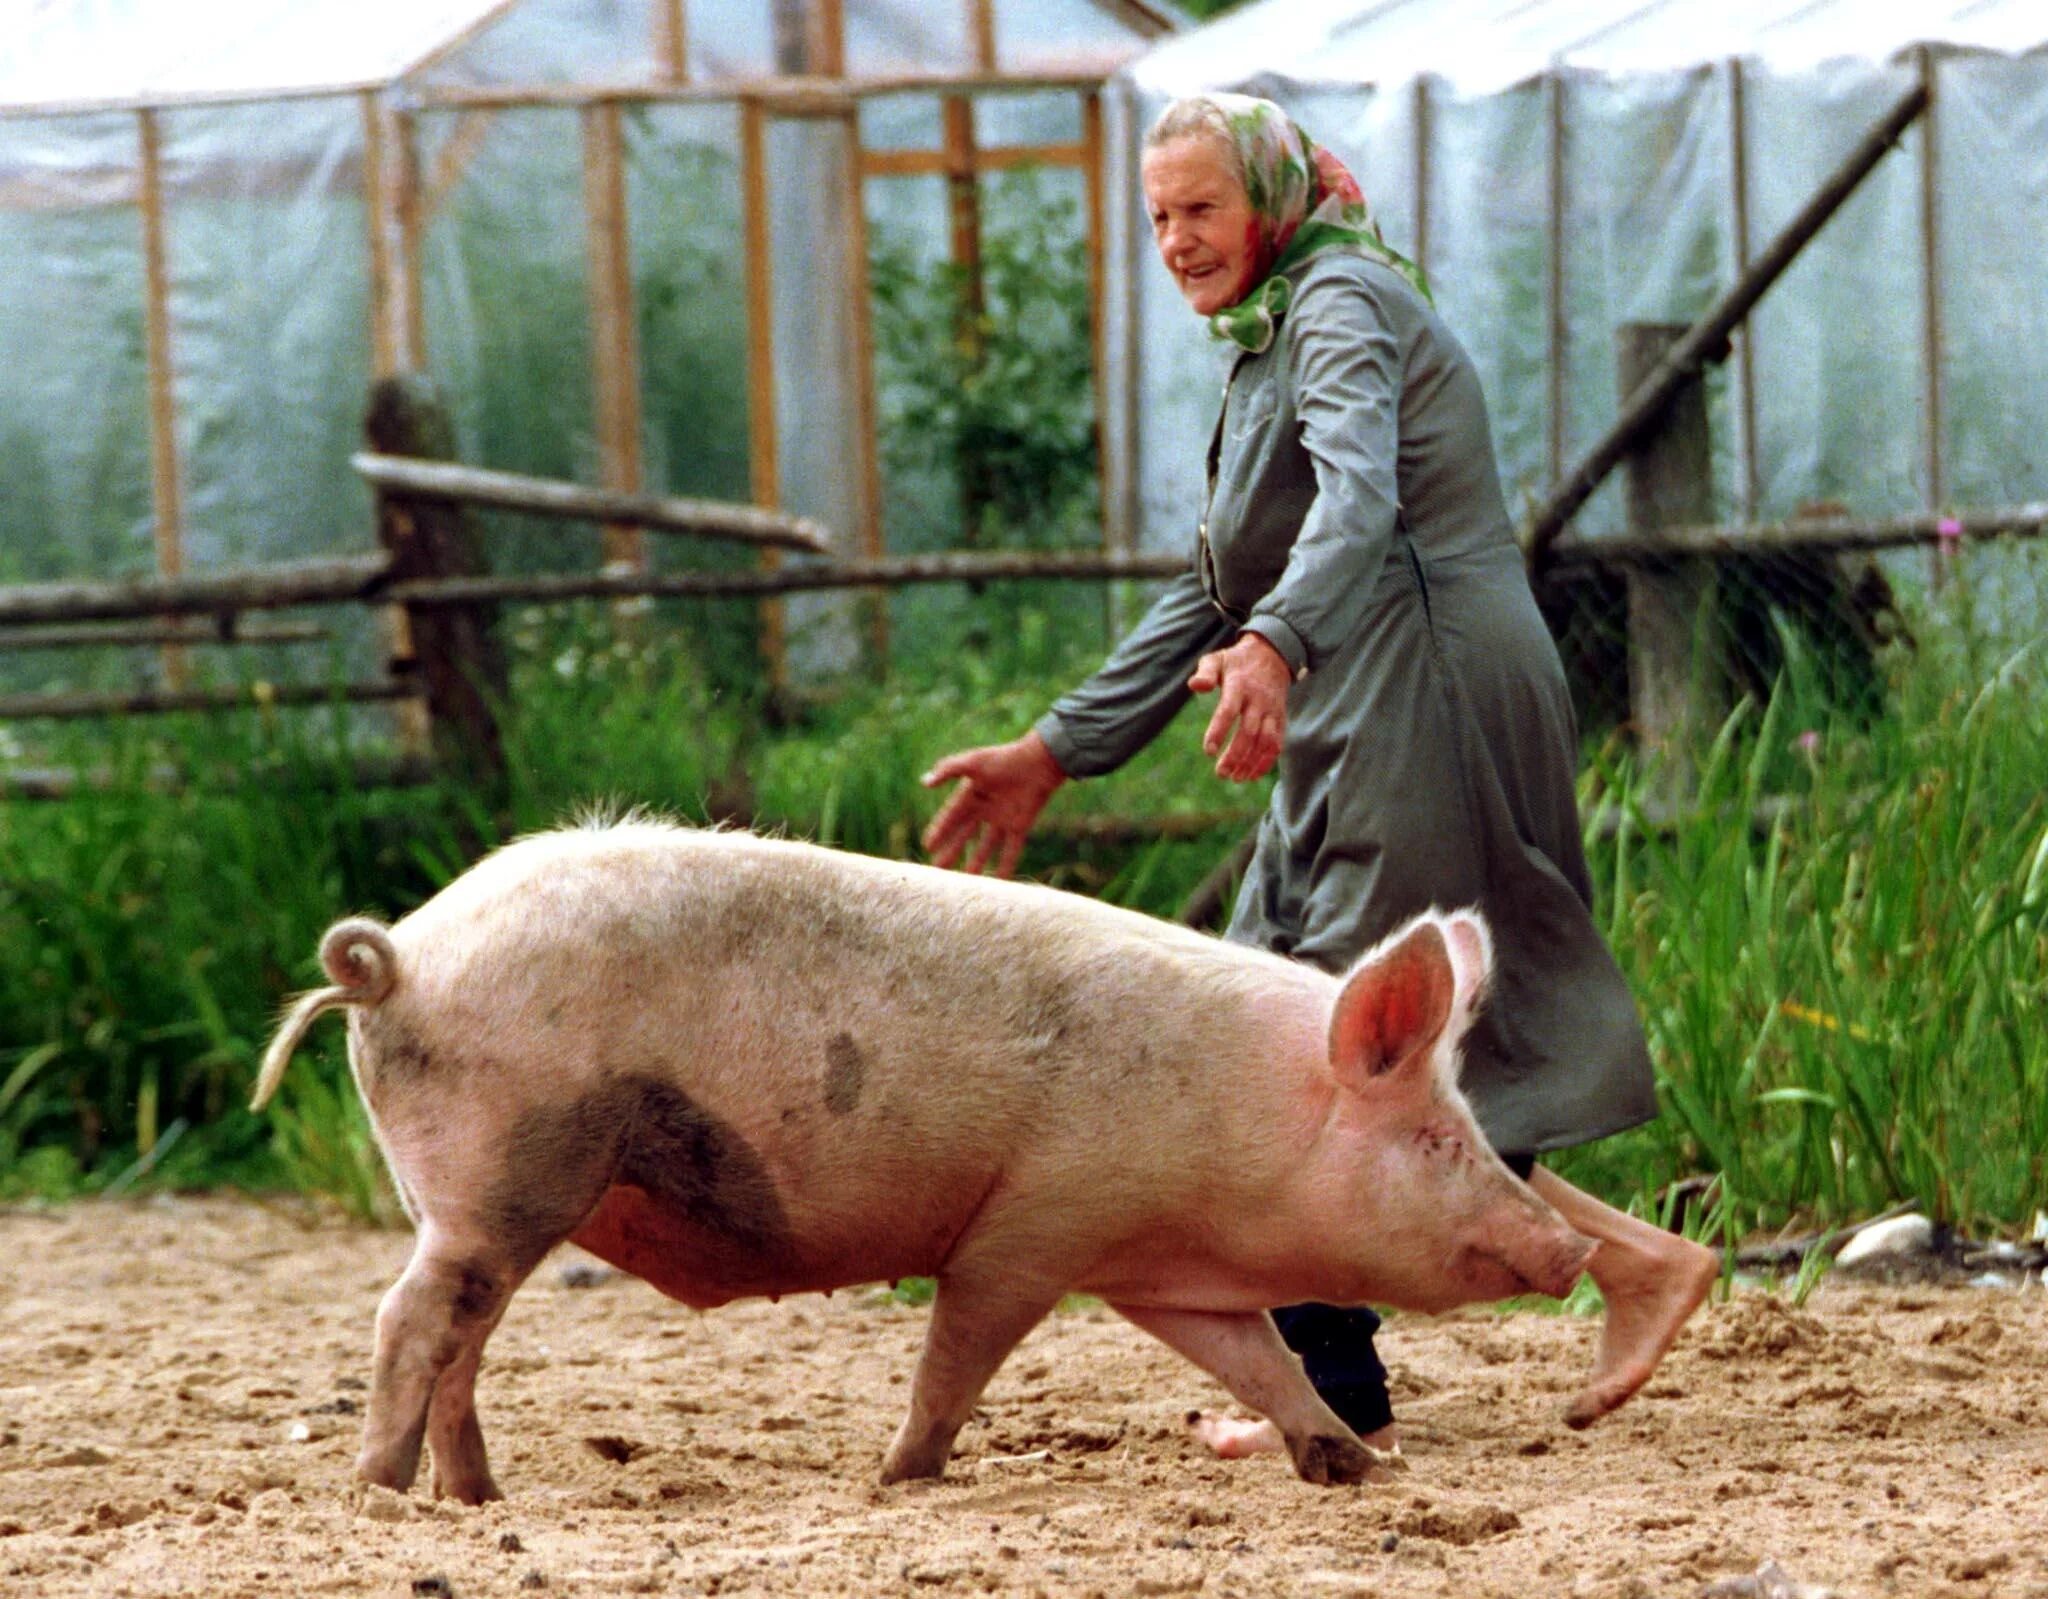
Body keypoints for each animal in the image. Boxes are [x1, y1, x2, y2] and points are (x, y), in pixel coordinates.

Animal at [251, 818, 1597, 1506]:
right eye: (1436, 1139)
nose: (1572, 1246)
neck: (1233, 1134)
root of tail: (402, 959)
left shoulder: (1154, 1268)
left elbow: (1259, 1359)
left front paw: (1352, 1466)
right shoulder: (1030, 1228)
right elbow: (958, 1353)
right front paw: (897, 1478)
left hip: (491, 1198)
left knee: (462, 1339)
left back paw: (476, 1497)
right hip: (503, 1173)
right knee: (409, 1320)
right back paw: (381, 1495)